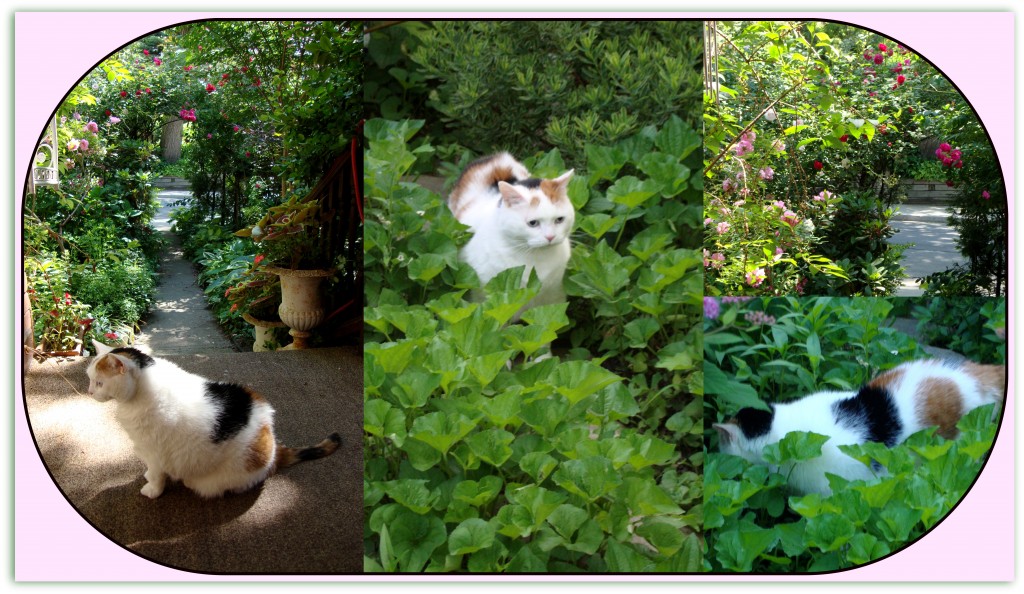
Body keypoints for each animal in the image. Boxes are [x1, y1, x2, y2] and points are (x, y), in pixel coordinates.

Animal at [86, 342, 342, 499]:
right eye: (89, 379)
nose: (89, 392)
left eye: (99, 383)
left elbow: (158, 475)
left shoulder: (155, 451)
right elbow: (151, 470)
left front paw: (152, 490)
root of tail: (274, 448)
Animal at [448, 154, 577, 319]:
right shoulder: (487, 296)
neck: (534, 258)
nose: (550, 237)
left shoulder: (553, 295)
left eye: (559, 219)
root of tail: (494, 158)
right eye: (533, 223)